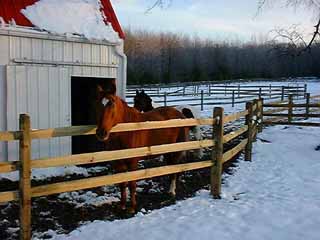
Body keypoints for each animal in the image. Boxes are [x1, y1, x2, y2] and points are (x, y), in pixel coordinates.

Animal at [95, 81, 190, 213]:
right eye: (98, 104)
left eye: (112, 104)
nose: (101, 133)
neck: (126, 132)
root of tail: (180, 114)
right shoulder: (118, 163)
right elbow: (122, 184)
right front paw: (122, 205)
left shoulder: (133, 162)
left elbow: (132, 183)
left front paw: (132, 207)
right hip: (166, 151)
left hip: (175, 149)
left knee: (174, 169)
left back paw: (172, 191)